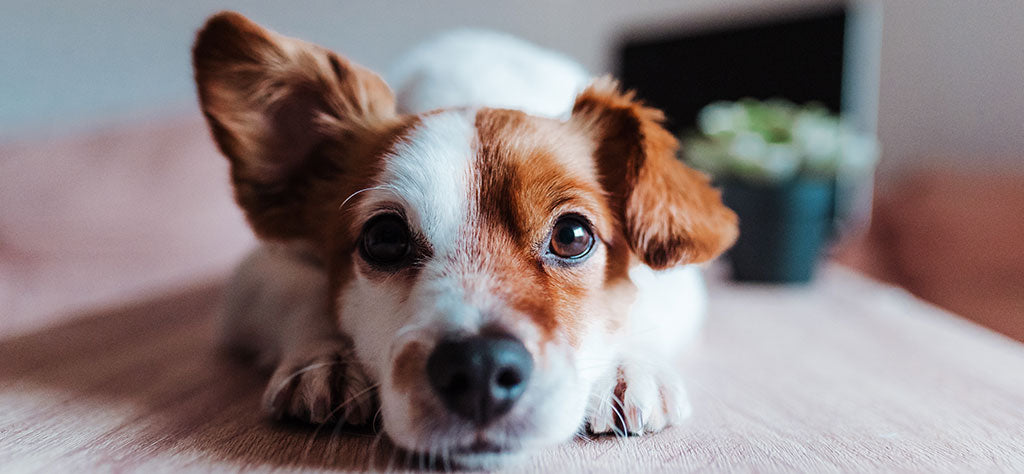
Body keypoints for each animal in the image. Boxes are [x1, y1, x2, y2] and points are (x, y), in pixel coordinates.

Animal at [192, 12, 737, 470]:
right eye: (383, 238)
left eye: (572, 235)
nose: (479, 368)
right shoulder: (257, 272)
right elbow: (301, 293)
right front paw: (326, 358)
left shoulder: (679, 280)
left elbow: (641, 303)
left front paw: (628, 364)